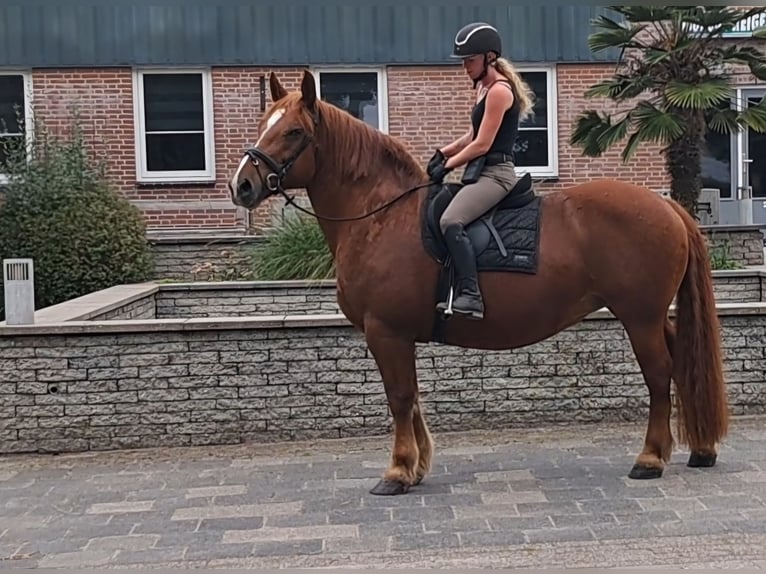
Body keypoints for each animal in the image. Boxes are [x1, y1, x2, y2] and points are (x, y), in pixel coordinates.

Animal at [228, 70, 732, 498]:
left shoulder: (385, 332)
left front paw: (398, 471)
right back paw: (699, 449)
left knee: (660, 373)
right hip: (652, 317)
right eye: (263, 123)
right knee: (681, 362)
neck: (382, 217)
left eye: (294, 132)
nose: (243, 186)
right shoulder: (399, 337)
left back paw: (650, 458)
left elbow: (400, 397)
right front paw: (417, 466)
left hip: (639, 317)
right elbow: (412, 398)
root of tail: (667, 206)